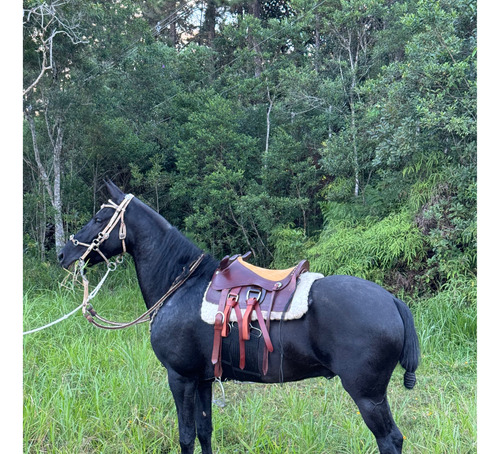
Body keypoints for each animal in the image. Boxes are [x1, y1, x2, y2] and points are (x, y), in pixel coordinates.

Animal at [57, 181, 418, 454]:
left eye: (99, 217)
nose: (63, 253)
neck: (181, 284)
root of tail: (392, 301)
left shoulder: (180, 377)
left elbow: (186, 436)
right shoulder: (202, 379)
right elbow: (205, 431)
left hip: (367, 396)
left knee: (390, 440)